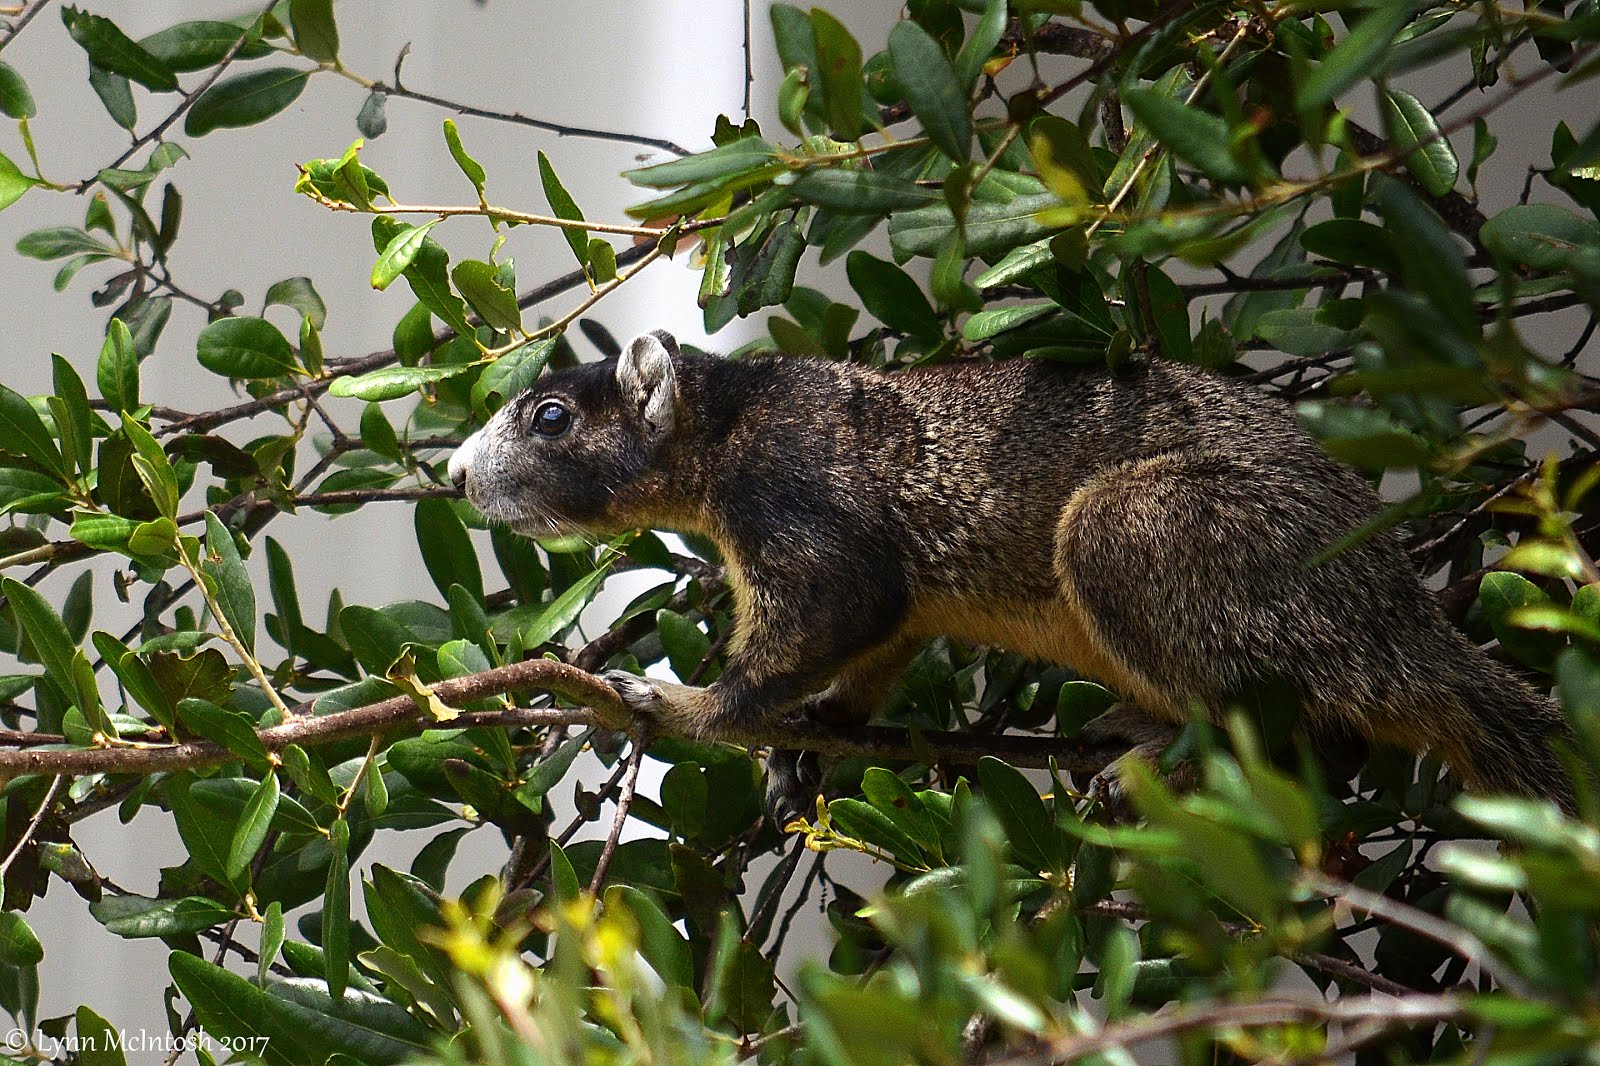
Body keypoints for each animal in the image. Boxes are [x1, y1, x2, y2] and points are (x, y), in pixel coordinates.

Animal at [444, 329, 1568, 813]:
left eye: (552, 417)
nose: (453, 474)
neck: (728, 428)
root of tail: (1401, 625)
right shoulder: (891, 612)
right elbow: (871, 652)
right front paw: (805, 748)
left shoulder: (801, 500)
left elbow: (817, 619)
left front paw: (678, 703)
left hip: (1142, 534)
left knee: (1303, 729)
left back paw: (1154, 761)